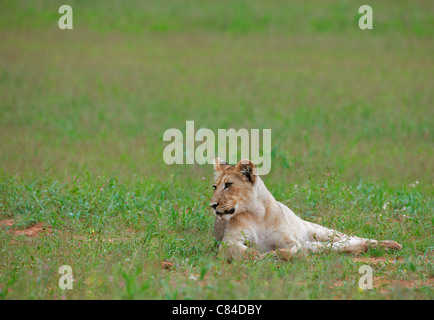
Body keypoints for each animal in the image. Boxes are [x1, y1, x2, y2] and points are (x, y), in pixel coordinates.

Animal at [209, 158, 402, 260]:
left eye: (228, 185)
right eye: (215, 187)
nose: (212, 205)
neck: (256, 214)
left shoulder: (289, 241)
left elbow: (292, 249)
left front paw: (277, 254)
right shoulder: (229, 241)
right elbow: (248, 252)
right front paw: (263, 256)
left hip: (321, 231)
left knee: (350, 238)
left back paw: (390, 244)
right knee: (337, 245)